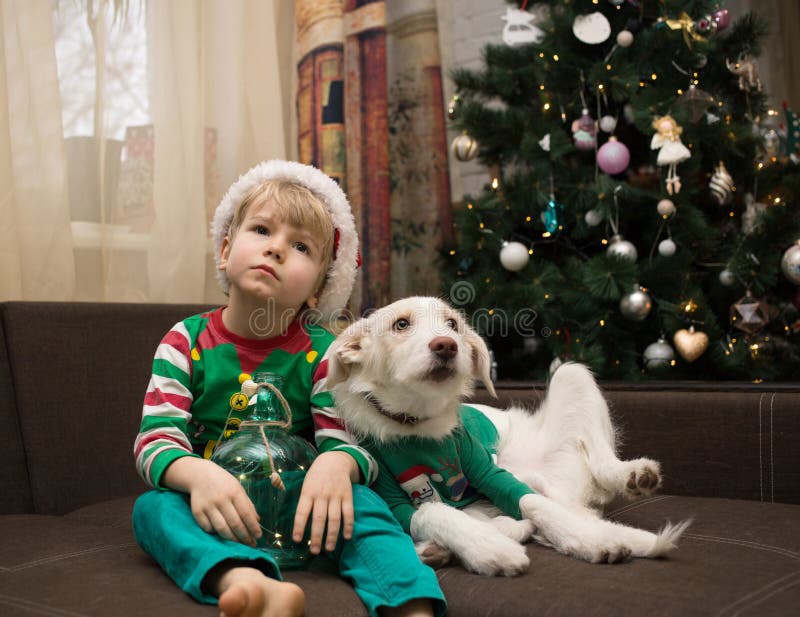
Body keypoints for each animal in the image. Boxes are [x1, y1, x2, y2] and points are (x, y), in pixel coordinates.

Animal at [324, 296, 688, 576]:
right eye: (401, 324)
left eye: (452, 325)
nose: (447, 346)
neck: (418, 423)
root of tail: (565, 493)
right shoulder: (393, 497)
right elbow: (435, 511)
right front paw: (488, 549)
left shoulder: (490, 472)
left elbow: (533, 504)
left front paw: (591, 539)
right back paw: (442, 547)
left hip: (572, 374)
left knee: (594, 471)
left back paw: (632, 475)